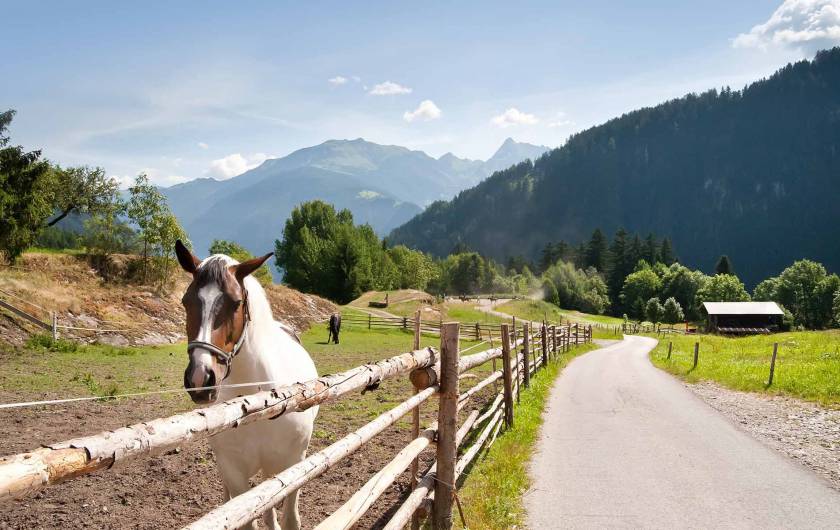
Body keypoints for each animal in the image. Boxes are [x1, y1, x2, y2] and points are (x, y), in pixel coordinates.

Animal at [175, 240, 318, 528]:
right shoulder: (235, 474)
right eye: (186, 301)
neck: (260, 403)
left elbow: (289, 519)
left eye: (236, 302)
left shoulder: (295, 463)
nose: (200, 378)